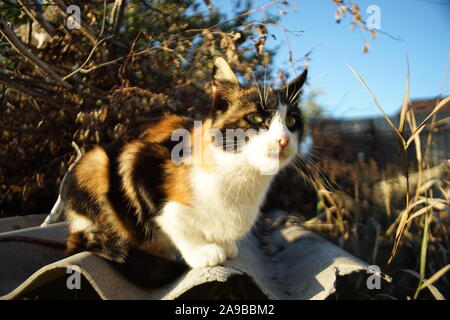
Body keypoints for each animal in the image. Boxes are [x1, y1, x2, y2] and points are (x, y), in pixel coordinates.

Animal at [44, 58, 306, 288]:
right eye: (256, 118)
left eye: (292, 121)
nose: (283, 140)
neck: (240, 173)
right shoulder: (141, 162)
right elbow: (173, 220)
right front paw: (203, 251)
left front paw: (225, 244)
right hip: (96, 162)